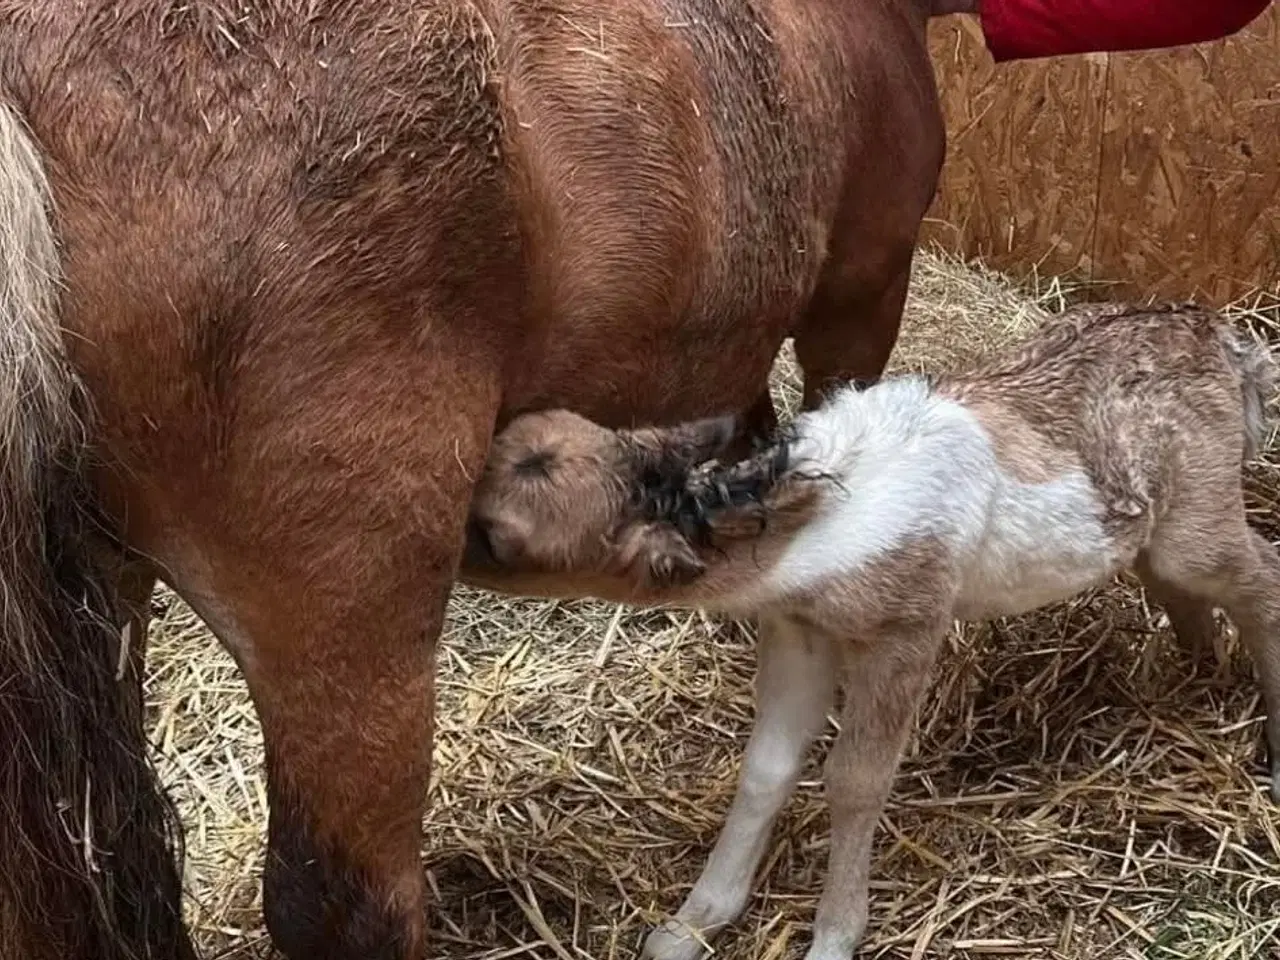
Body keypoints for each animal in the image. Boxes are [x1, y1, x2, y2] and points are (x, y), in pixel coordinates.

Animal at [465, 305, 1280, 960]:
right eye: (503, 439)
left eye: (505, 538)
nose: (444, 541)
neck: (817, 526)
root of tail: (1229, 342)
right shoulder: (799, 630)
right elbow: (767, 767)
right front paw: (687, 928)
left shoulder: (907, 626)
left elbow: (856, 780)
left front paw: (830, 940)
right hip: (1154, 529)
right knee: (1174, 583)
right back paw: (1192, 676)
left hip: (1200, 511)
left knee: (1260, 575)